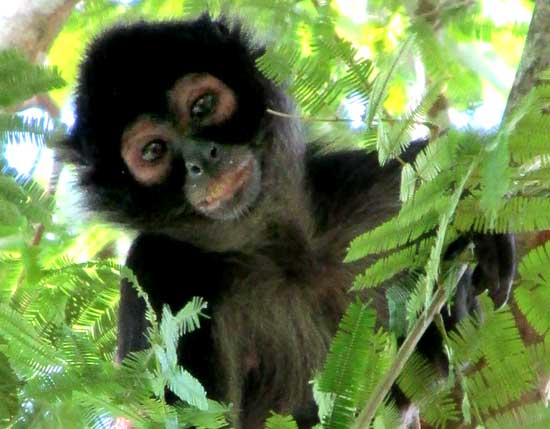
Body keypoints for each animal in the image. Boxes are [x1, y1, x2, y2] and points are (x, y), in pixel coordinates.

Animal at [60, 14, 516, 428]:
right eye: (153, 151)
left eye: (203, 106)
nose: (200, 160)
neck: (283, 255)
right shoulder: (158, 268)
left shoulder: (360, 189)